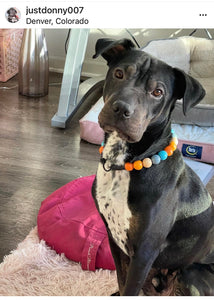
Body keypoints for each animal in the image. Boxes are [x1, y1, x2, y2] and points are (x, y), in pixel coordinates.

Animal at [91, 38, 214, 296]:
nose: (121, 109)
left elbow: (130, 288)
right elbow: (121, 281)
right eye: (119, 73)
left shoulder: (144, 253)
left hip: (191, 272)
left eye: (157, 92)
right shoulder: (114, 240)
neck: (124, 164)